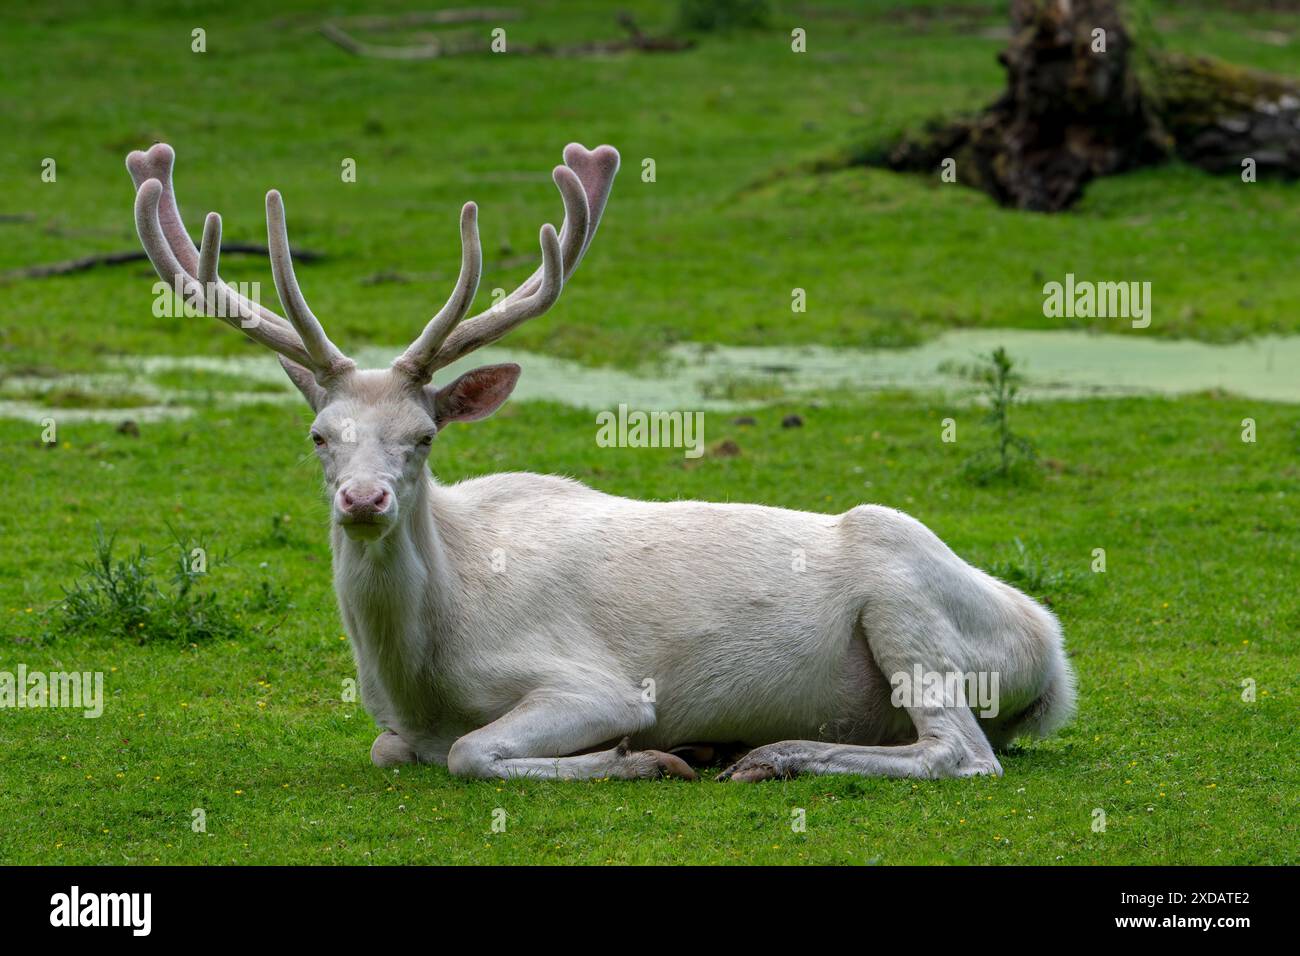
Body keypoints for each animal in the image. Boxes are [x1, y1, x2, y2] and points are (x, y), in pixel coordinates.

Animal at [124, 142, 1075, 782]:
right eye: (320, 435)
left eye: (423, 437)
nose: (363, 500)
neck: (421, 670)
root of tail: (1052, 649)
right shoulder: (393, 726)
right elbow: (388, 748)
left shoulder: (597, 683)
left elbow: (472, 753)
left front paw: (646, 758)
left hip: (907, 596)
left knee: (962, 752)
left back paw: (768, 753)